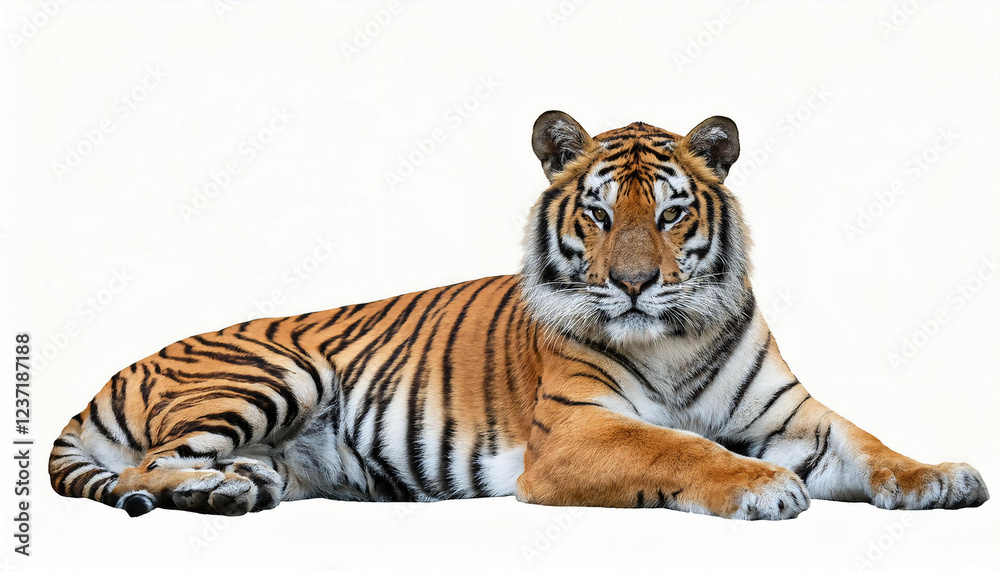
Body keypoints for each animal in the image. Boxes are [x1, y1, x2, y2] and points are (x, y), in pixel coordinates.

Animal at [49, 111, 989, 520]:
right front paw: (761, 485)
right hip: (276, 371)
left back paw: (241, 484)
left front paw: (941, 477)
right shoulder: (574, 430)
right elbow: (679, 445)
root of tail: (118, 367)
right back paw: (216, 489)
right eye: (600, 213)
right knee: (141, 471)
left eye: (672, 213)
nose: (636, 283)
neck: (675, 340)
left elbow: (873, 445)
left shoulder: (795, 415)